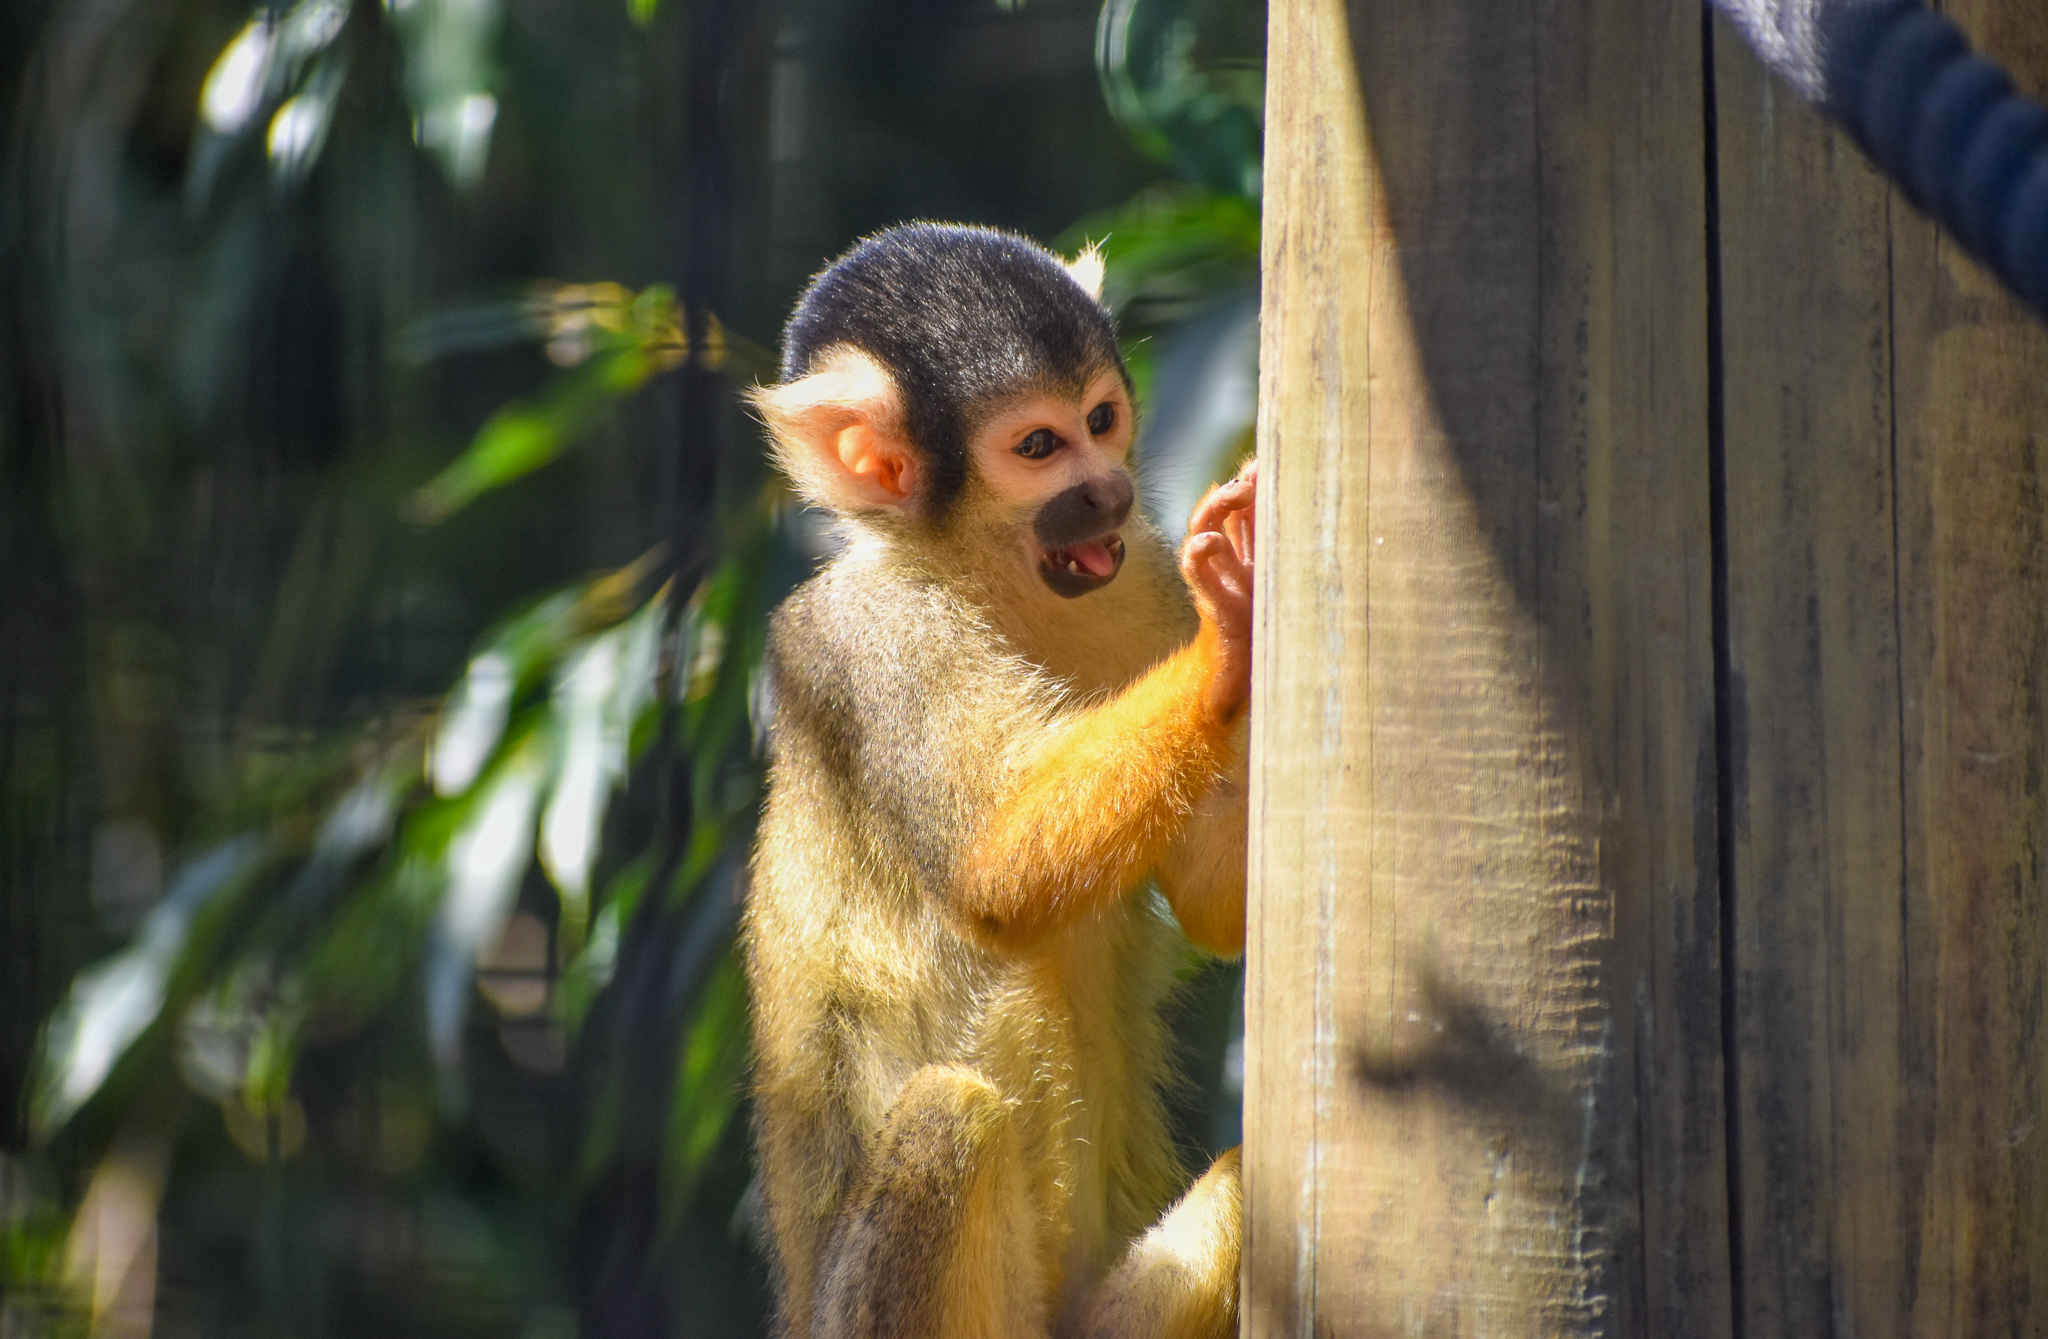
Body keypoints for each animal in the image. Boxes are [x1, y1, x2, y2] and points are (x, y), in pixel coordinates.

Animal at [742, 222, 1256, 1339]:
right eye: (1038, 449)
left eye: (1101, 419)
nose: (1110, 491)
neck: (979, 575)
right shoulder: (864, 641)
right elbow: (995, 873)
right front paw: (1230, 637)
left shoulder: (1139, 568)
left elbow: (1216, 906)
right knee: (949, 1112)